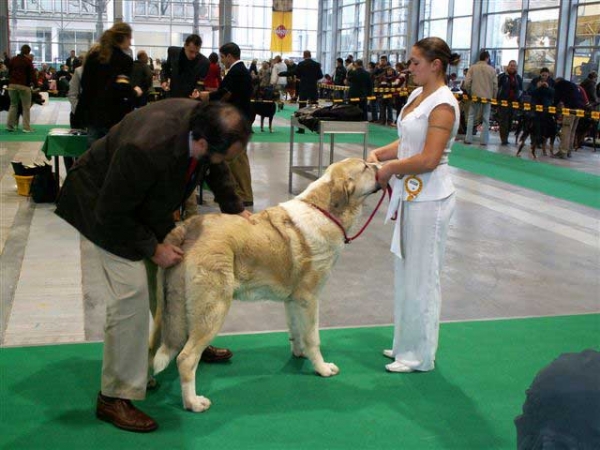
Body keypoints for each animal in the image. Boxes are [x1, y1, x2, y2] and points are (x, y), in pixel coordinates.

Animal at [150, 157, 378, 412]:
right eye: (365, 167)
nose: (379, 166)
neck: (326, 211)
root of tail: (187, 226)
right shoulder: (309, 299)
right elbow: (313, 338)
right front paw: (321, 368)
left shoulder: (293, 301)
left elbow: (296, 331)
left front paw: (299, 354)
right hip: (213, 309)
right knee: (186, 358)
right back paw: (193, 402)